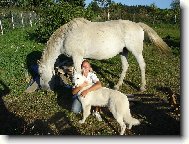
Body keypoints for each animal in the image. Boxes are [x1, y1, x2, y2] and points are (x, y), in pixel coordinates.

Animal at [37, 17, 170, 90]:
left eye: (40, 73)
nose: (44, 89)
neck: (66, 36)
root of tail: (138, 25)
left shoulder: (77, 57)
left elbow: (78, 73)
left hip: (135, 51)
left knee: (142, 65)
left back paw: (142, 87)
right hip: (123, 52)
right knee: (125, 66)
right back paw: (117, 86)